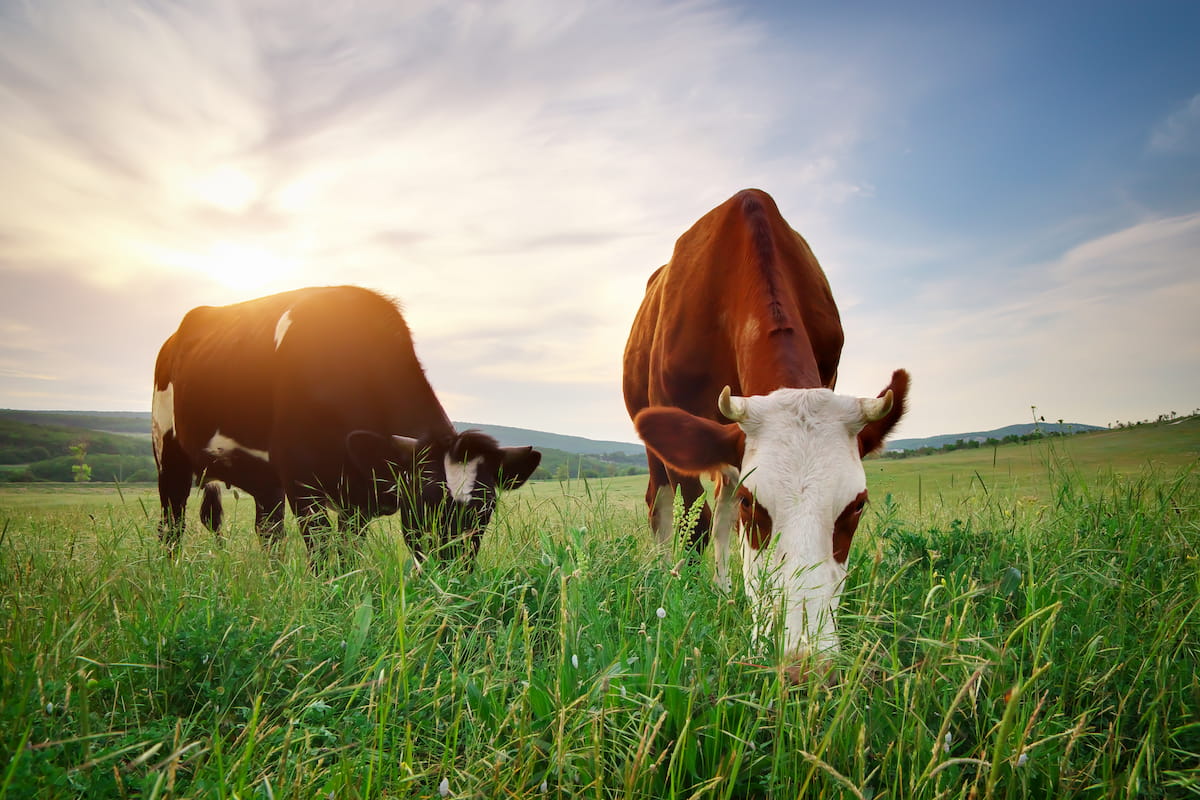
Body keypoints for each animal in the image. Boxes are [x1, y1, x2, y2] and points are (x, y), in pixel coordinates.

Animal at [152, 286, 542, 563]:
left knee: (268, 532)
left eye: (485, 512)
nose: (450, 576)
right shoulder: (301, 481)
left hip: (264, 481)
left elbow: (347, 555)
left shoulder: (357, 499)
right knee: (172, 523)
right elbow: (324, 556)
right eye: (423, 503)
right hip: (168, 452)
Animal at [624, 189, 902, 662]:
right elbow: (694, 524)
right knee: (661, 504)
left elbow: (719, 521)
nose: (804, 660)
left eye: (858, 506)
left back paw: (723, 590)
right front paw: (685, 598)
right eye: (755, 504)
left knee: (719, 509)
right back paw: (664, 574)